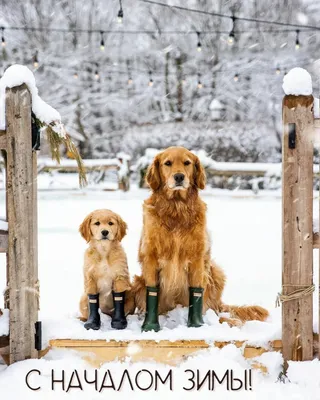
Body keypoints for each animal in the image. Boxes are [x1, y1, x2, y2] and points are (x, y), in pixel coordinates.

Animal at [131, 147, 268, 332]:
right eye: (168, 163)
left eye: (187, 163)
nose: (179, 177)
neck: (176, 208)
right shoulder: (151, 256)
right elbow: (152, 291)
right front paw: (150, 327)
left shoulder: (197, 257)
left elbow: (196, 294)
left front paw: (196, 326)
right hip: (139, 282)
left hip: (215, 272)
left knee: (214, 311)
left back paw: (229, 321)